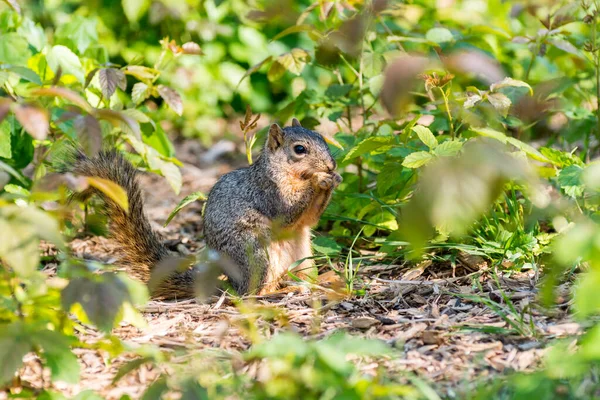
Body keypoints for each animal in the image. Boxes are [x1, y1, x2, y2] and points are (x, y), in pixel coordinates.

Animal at [68, 119, 340, 300]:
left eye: (321, 137)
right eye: (299, 149)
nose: (331, 165)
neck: (287, 173)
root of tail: (230, 283)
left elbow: (309, 218)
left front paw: (333, 179)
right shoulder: (268, 192)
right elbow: (288, 212)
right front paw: (319, 180)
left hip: (303, 256)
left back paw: (320, 281)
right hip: (254, 254)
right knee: (250, 293)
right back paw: (277, 293)